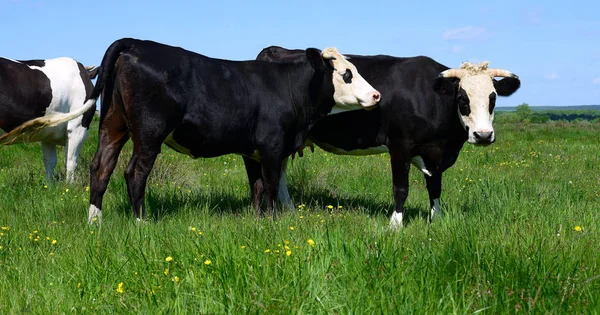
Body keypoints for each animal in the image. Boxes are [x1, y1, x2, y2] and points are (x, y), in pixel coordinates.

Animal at [36, 39, 380, 222]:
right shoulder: (271, 148)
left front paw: (258, 222)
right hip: (149, 132)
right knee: (134, 173)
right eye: (347, 73)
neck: (287, 87)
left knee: (101, 167)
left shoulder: (251, 151)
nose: (376, 95)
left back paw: (95, 221)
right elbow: (270, 186)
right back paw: (141, 221)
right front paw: (273, 222)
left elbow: (256, 187)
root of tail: (137, 43)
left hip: (112, 123)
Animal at [253, 45, 520, 228]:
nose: (483, 135)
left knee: (281, 170)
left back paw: (289, 208)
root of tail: (273, 49)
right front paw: (395, 225)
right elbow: (400, 187)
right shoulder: (400, 146)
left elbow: (435, 187)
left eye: (493, 98)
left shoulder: (435, 152)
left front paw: (436, 218)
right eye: (463, 99)